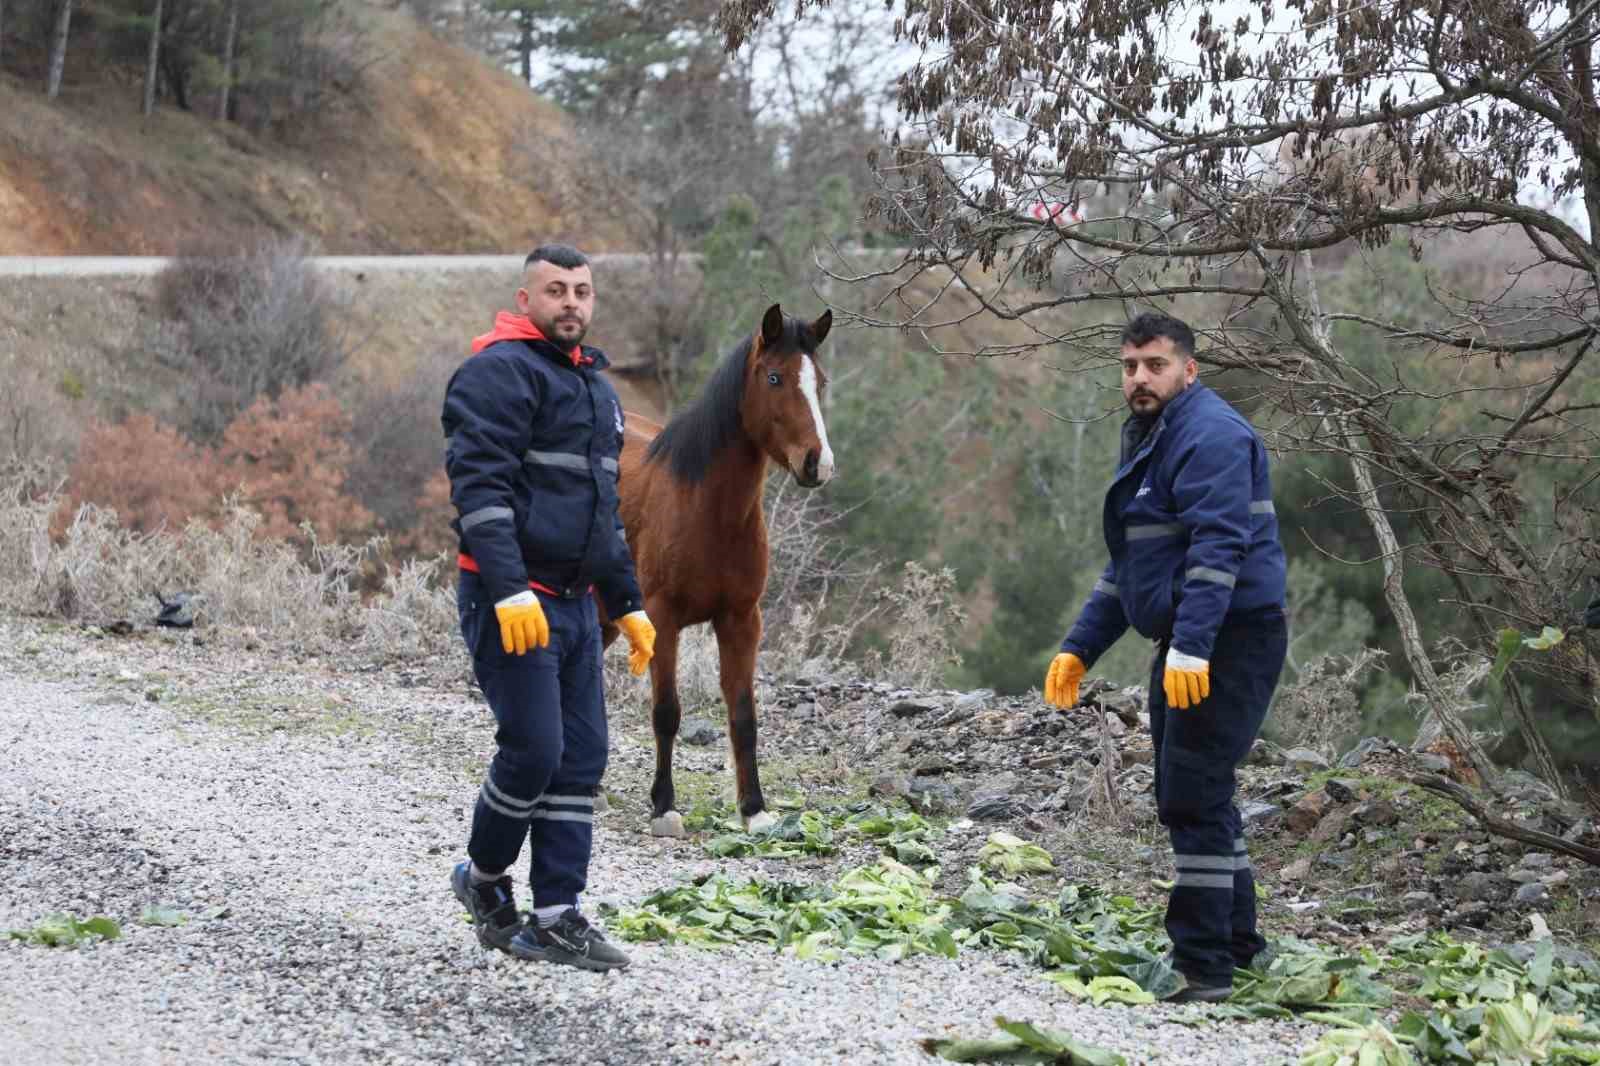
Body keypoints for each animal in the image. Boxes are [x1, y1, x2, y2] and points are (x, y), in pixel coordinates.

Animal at [601, 302, 838, 832]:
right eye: (774, 377)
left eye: (820, 381)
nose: (819, 463)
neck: (706, 510)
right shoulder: (663, 618)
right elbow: (667, 711)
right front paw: (664, 806)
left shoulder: (741, 621)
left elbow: (744, 716)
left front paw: (755, 810)